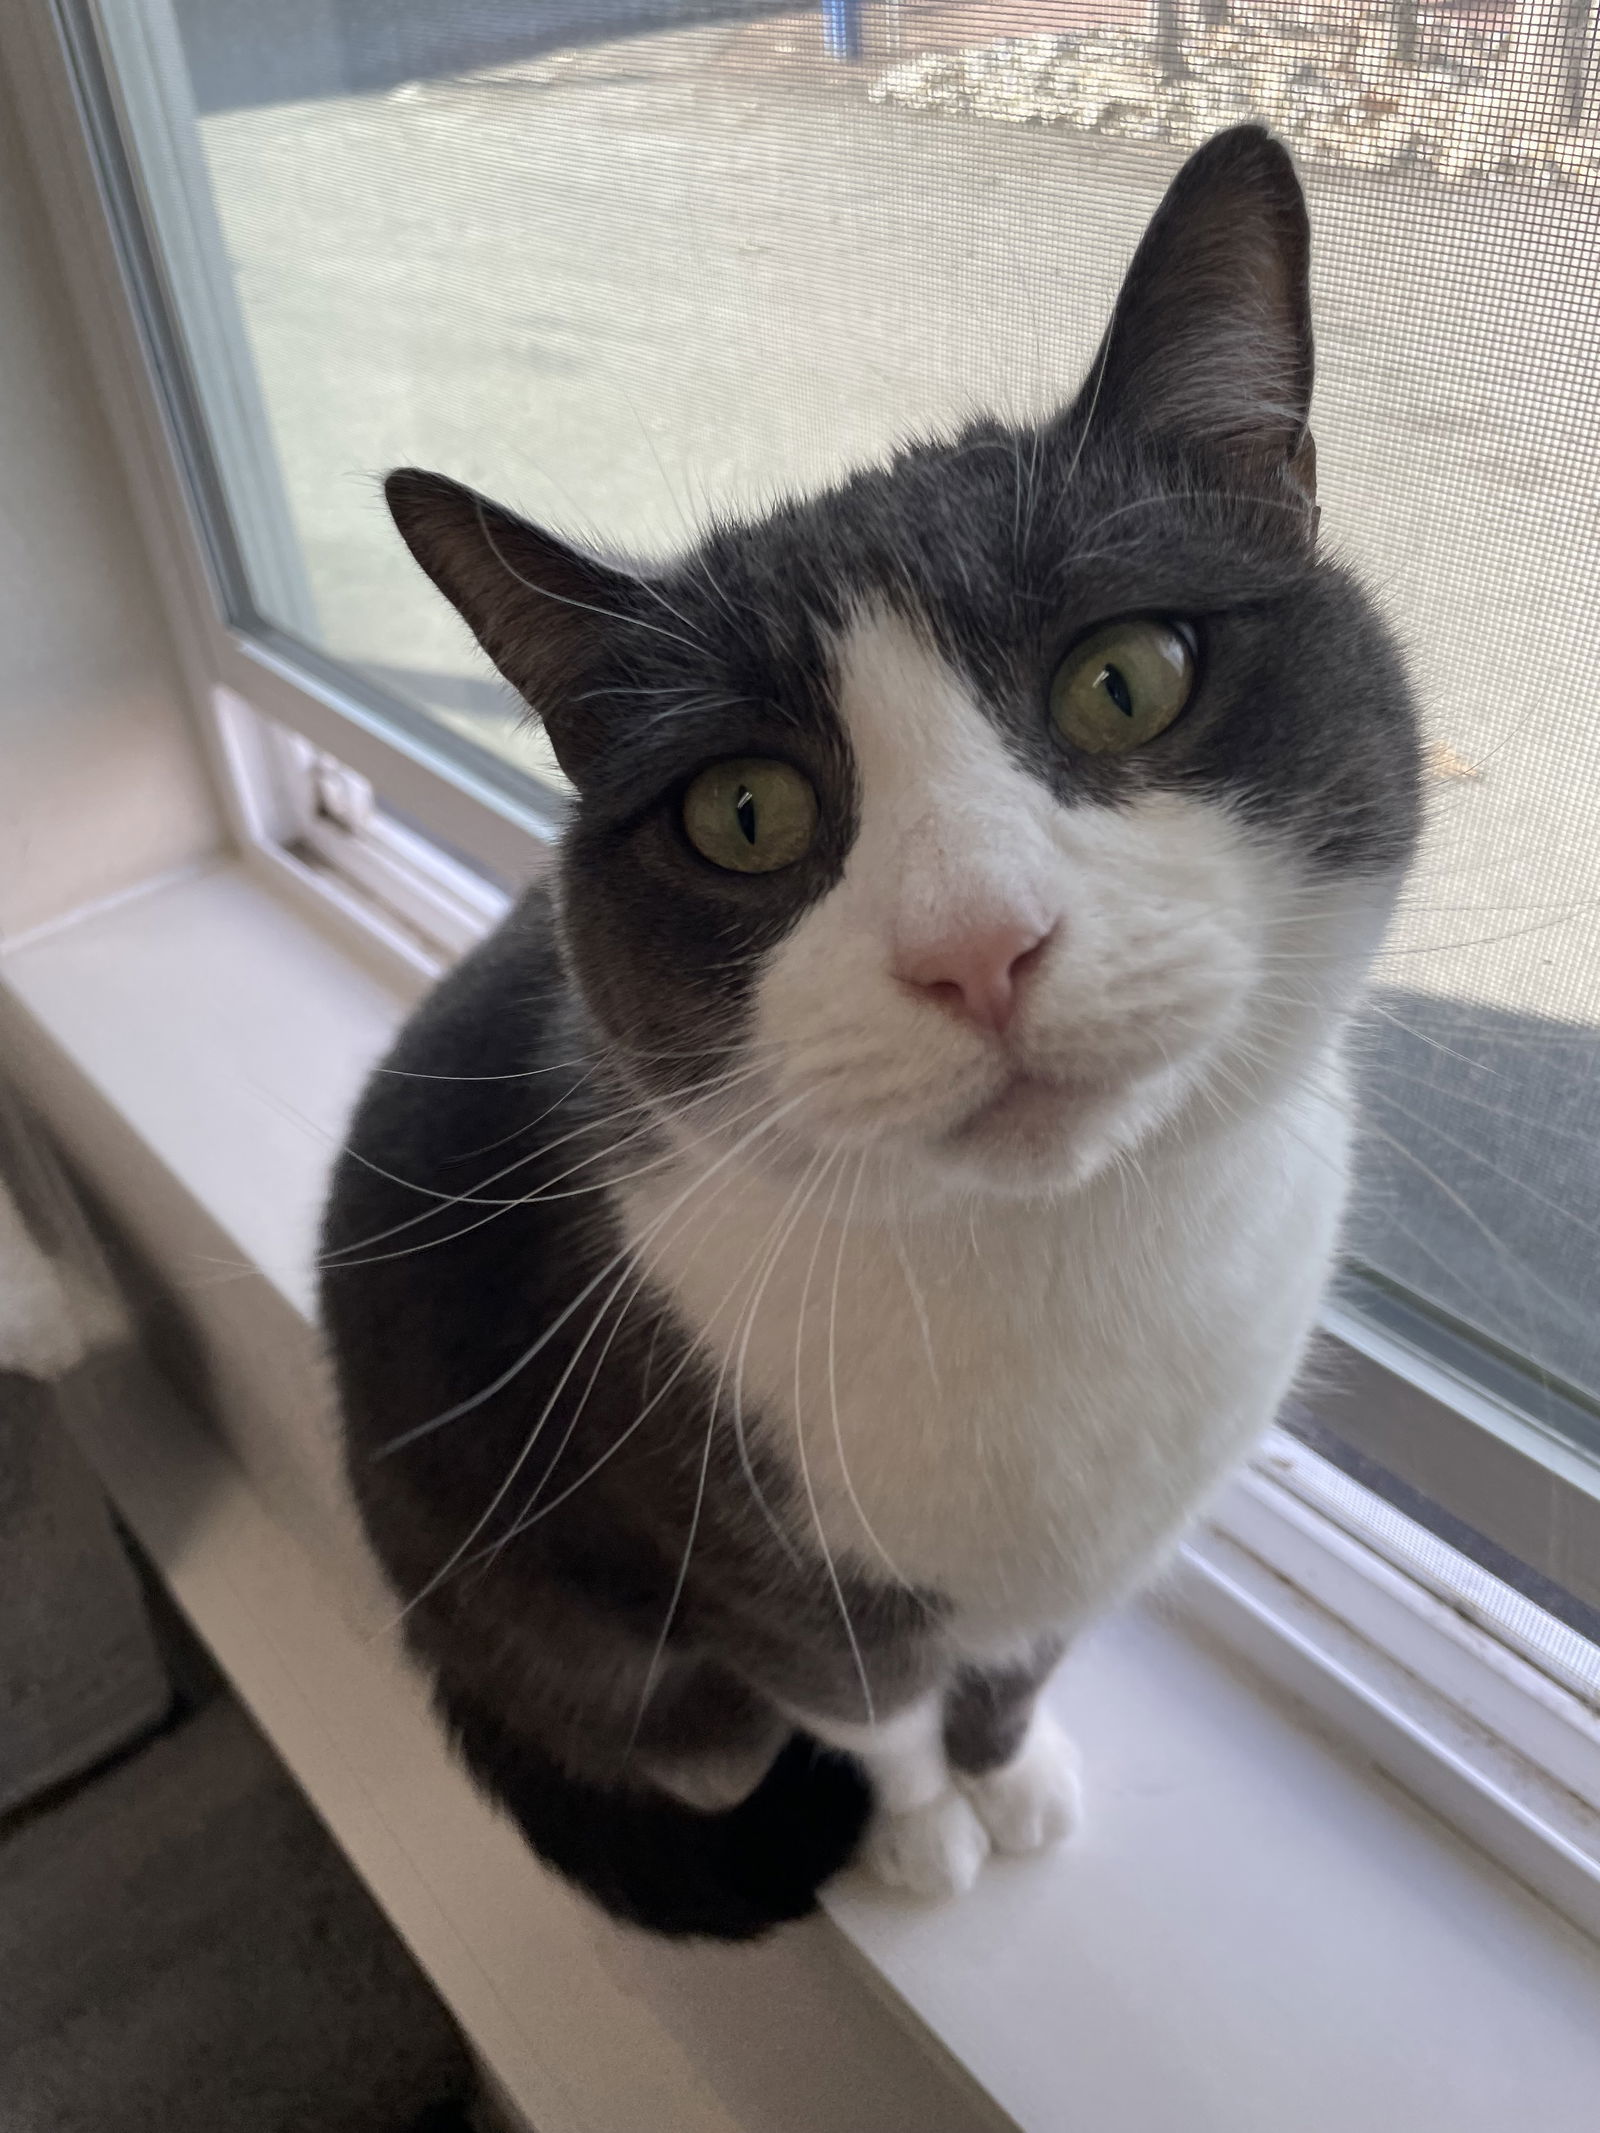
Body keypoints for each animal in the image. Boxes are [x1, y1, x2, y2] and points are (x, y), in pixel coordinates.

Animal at [320, 124, 1425, 1945]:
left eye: (1125, 679)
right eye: (746, 811)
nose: (978, 944)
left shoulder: (1118, 1531)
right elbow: (864, 1698)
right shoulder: (738, 1533)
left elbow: (1018, 1664)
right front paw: (919, 1829)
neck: (1054, 1264)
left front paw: (1014, 1769)